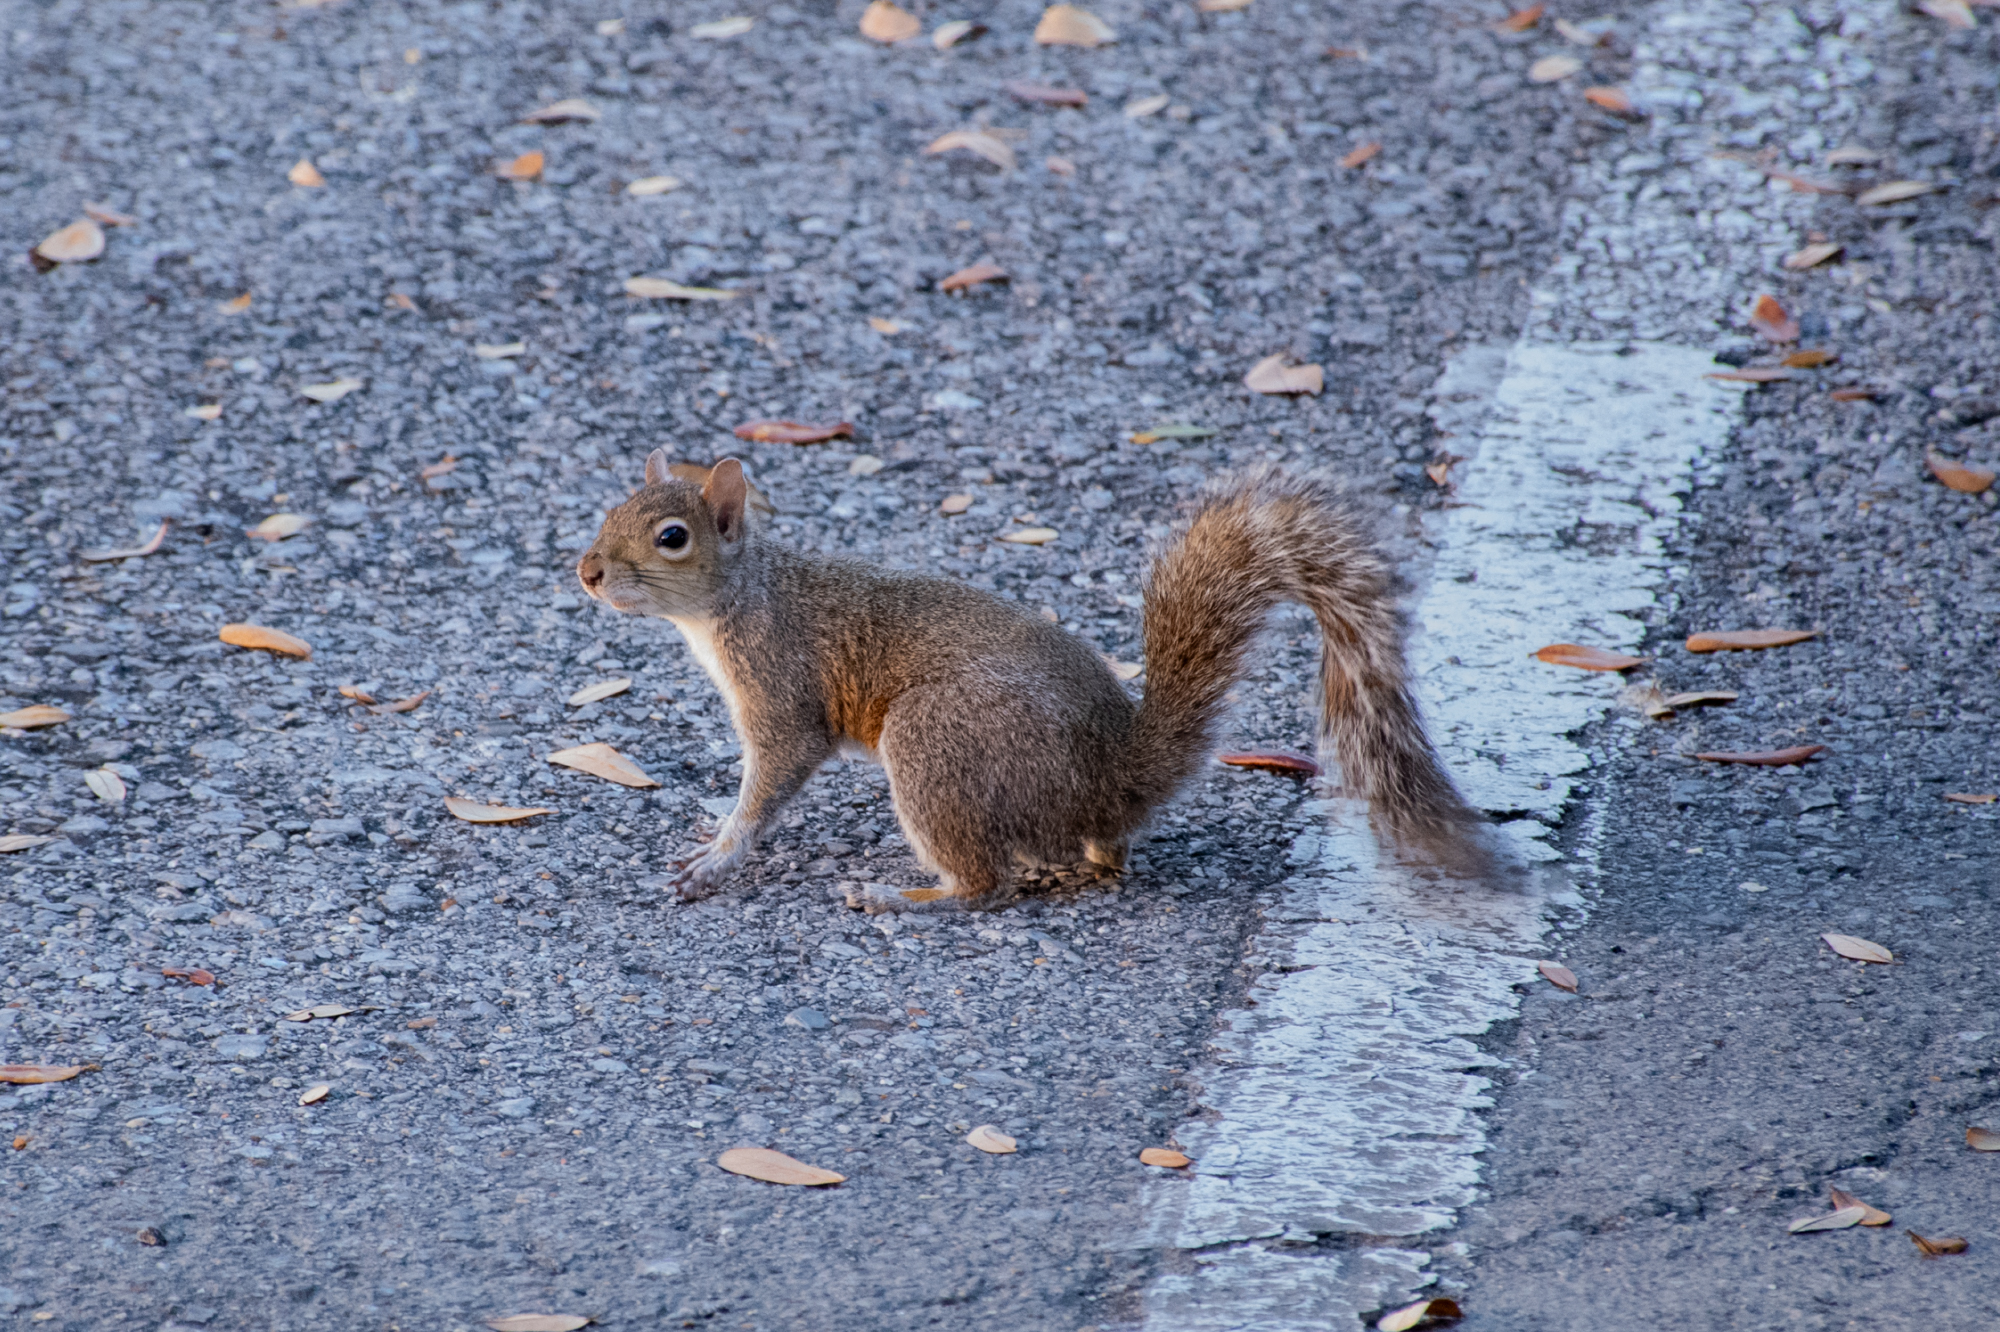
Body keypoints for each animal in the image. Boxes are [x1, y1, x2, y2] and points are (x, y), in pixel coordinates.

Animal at [580, 452, 1488, 908]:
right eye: (610, 507)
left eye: (671, 536)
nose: (586, 573)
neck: (738, 598)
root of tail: (1112, 777)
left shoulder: (781, 684)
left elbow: (773, 777)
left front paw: (719, 856)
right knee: (1098, 858)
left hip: (935, 740)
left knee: (986, 886)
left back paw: (908, 899)